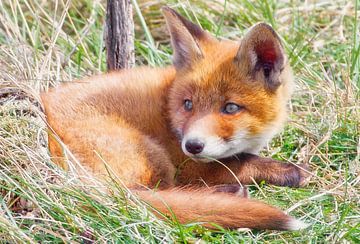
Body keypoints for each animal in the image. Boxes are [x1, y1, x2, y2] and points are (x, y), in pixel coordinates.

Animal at [40, 6, 310, 230]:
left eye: (231, 108)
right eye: (188, 104)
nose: (192, 145)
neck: (167, 107)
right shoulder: (189, 165)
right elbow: (241, 162)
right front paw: (291, 171)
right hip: (151, 155)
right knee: (145, 197)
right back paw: (227, 194)